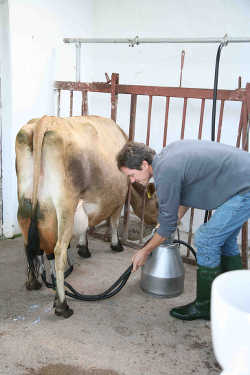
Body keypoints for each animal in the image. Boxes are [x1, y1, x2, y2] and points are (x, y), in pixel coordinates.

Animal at [15, 116, 156, 318]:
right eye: (157, 204)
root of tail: (44, 120)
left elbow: (87, 225)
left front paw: (83, 247)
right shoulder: (119, 198)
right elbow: (113, 223)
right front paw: (116, 245)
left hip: (28, 203)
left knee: (29, 244)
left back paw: (33, 283)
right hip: (65, 206)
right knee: (59, 251)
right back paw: (62, 305)